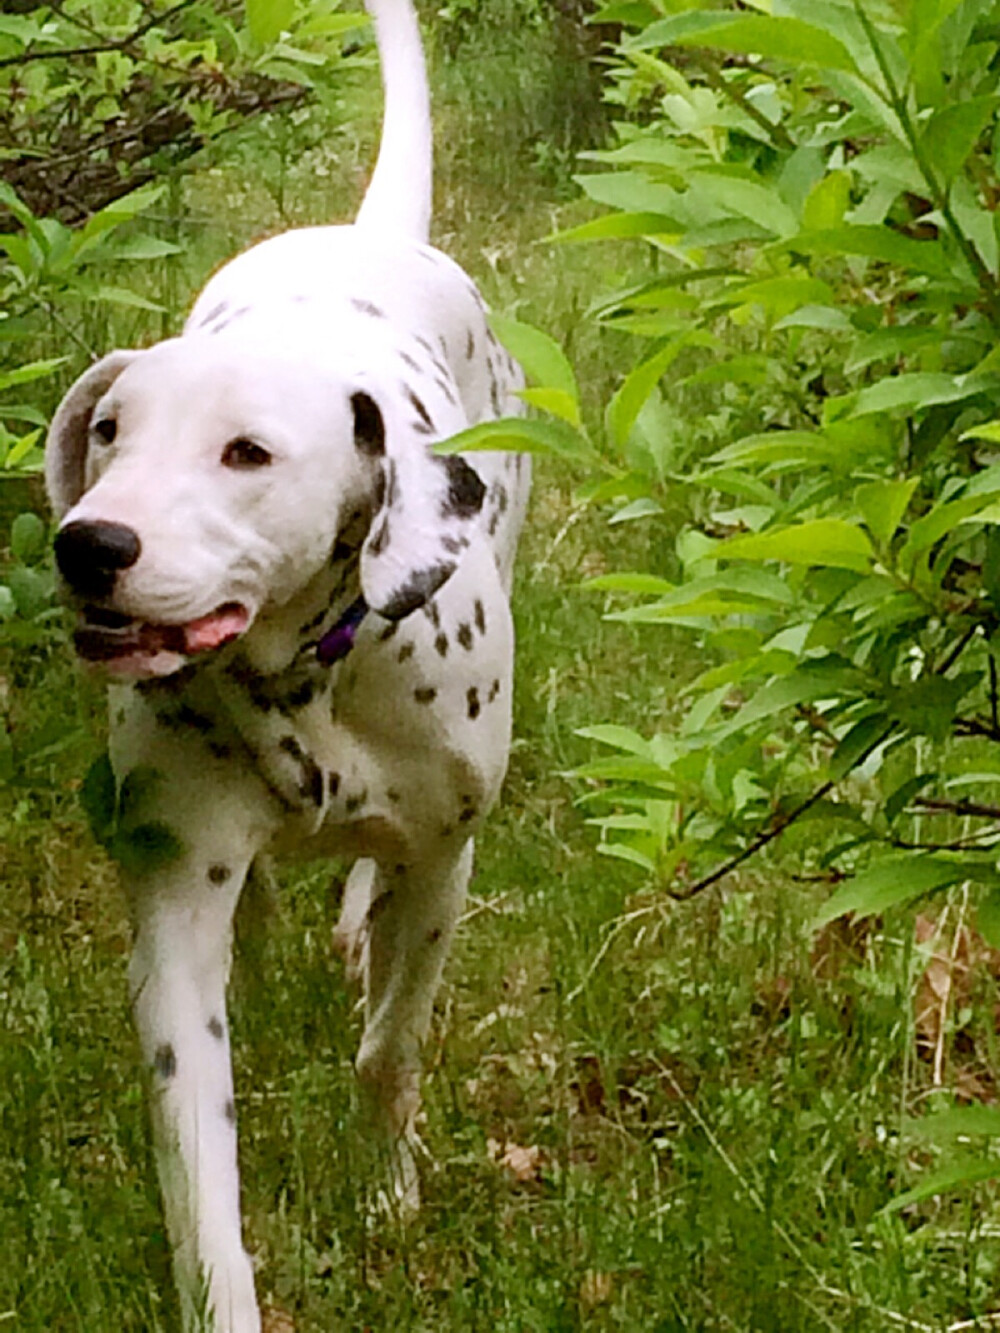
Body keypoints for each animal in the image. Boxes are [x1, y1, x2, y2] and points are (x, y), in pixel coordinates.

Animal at [45, 2, 533, 1333]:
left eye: (247, 452)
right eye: (109, 432)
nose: (88, 544)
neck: (303, 682)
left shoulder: (446, 863)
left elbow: (389, 1049)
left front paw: (386, 1193)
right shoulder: (173, 903)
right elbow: (194, 1157)